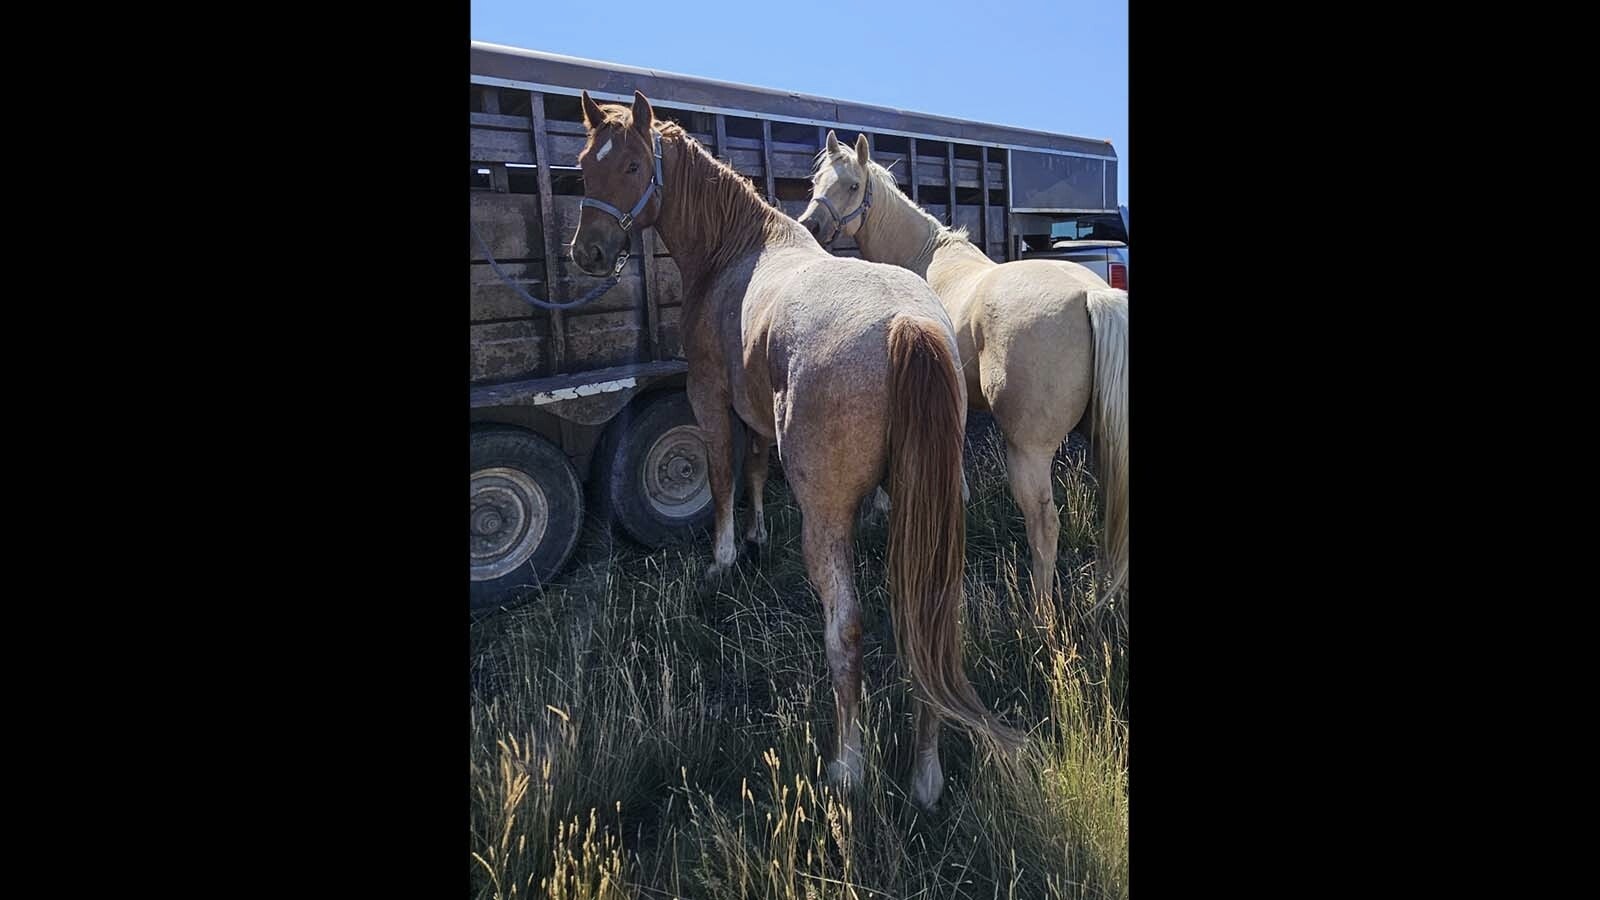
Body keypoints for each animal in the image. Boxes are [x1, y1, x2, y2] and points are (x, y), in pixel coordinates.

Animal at [572, 91, 1024, 807]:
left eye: (635, 165)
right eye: (587, 165)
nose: (588, 250)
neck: (736, 249)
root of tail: (907, 324)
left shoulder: (709, 392)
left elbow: (723, 473)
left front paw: (726, 557)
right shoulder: (756, 407)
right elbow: (757, 467)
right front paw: (758, 536)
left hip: (829, 520)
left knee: (847, 631)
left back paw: (849, 766)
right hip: (930, 511)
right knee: (928, 618)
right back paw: (926, 775)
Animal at [796, 134, 1126, 602]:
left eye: (853, 185)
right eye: (816, 181)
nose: (812, 225)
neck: (925, 256)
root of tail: (1092, 296)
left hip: (1028, 451)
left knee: (1044, 529)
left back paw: (1039, 610)